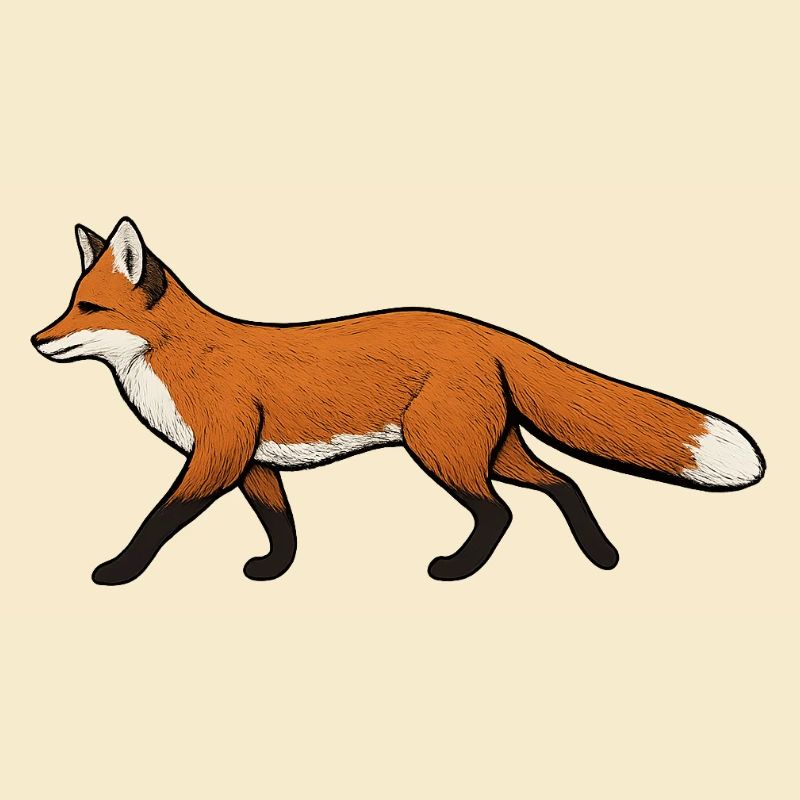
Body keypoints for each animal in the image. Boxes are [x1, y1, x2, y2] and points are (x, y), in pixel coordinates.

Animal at [31, 218, 765, 585]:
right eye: (68, 305)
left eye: (87, 309)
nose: (36, 339)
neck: (181, 359)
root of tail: (485, 329)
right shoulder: (255, 462)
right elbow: (281, 524)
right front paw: (273, 571)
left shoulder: (218, 453)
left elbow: (158, 520)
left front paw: (118, 571)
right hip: (489, 448)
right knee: (565, 484)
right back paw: (602, 557)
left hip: (440, 449)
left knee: (499, 513)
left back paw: (458, 570)